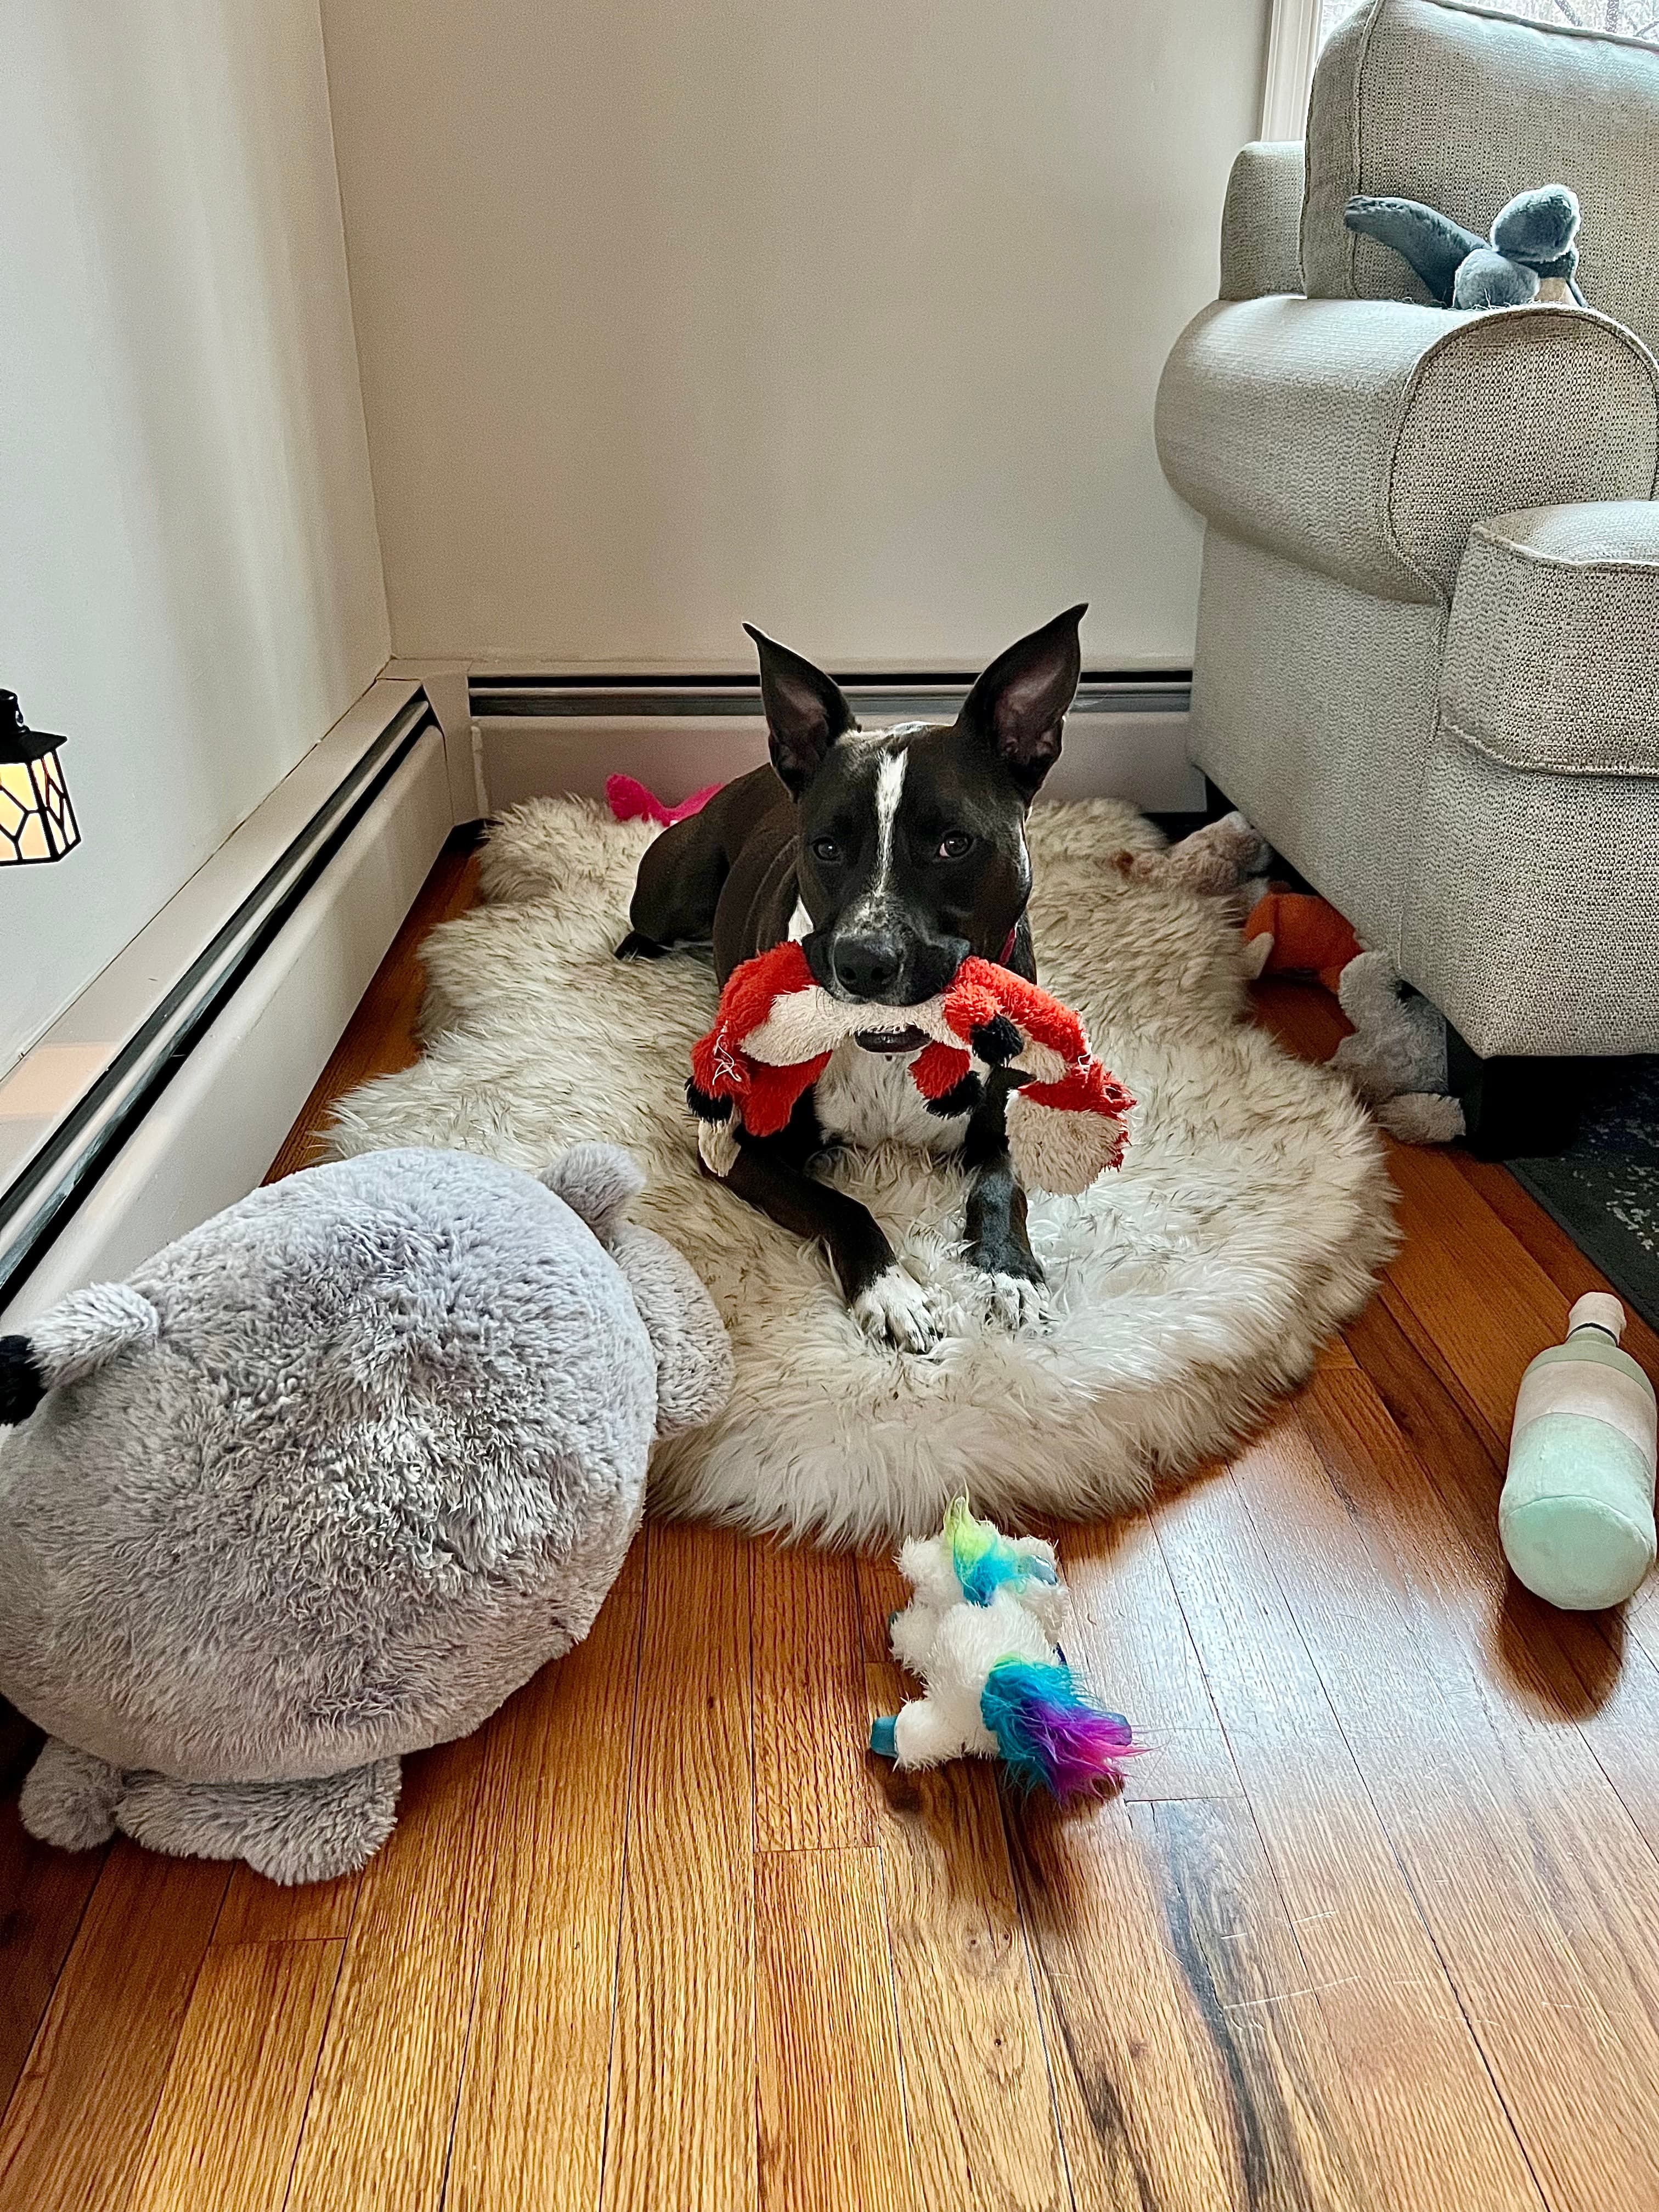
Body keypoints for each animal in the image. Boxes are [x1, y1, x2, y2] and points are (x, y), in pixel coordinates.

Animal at [619, 606, 1084, 1353]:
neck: (892, 1042)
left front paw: (1008, 1272)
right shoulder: (737, 1147)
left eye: (954, 843)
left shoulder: (1001, 1127)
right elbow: (841, 1206)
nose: (863, 960)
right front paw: (891, 1292)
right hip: (673, 893)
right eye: (827, 848)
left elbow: (999, 1189)